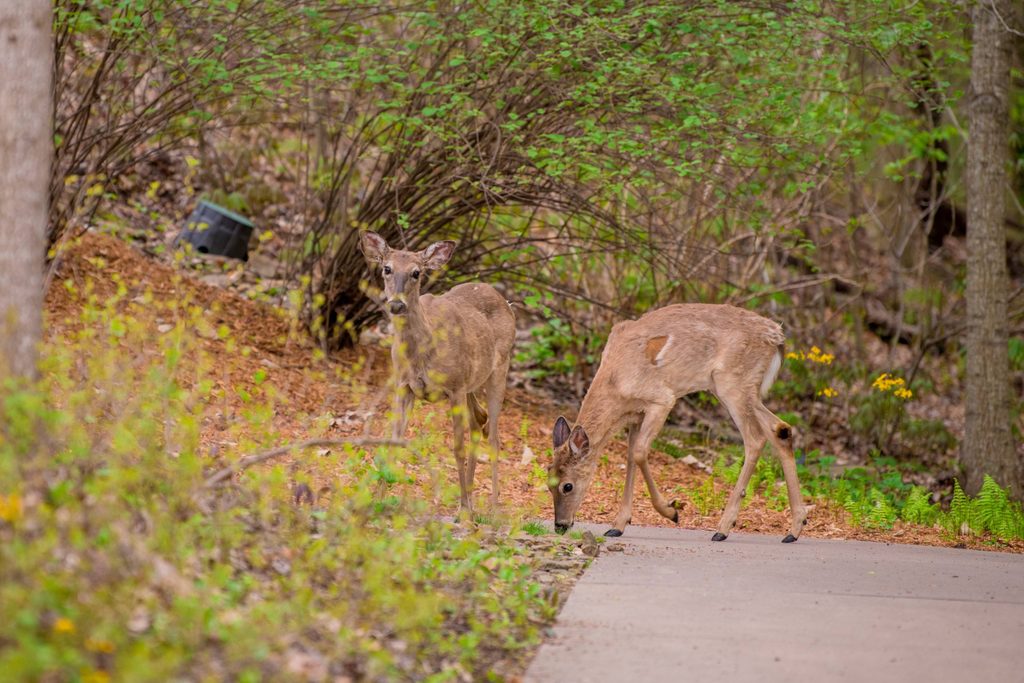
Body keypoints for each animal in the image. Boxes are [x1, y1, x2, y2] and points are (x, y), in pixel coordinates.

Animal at [359, 231, 516, 514]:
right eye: (387, 268)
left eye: (416, 272)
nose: (396, 304)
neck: (422, 353)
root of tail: (506, 301)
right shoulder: (404, 385)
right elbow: (393, 440)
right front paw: (376, 499)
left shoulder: (454, 388)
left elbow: (457, 448)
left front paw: (463, 509)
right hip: (471, 382)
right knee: (479, 420)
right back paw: (471, 498)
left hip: (499, 369)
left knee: (494, 435)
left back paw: (492, 506)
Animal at [547, 303, 811, 543]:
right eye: (549, 483)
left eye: (567, 486)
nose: (560, 525)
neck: (617, 382)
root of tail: (777, 336)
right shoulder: (636, 415)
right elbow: (631, 456)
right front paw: (617, 525)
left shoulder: (662, 399)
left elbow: (640, 452)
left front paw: (671, 511)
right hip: (740, 390)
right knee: (780, 430)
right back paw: (794, 529)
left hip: (732, 383)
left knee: (755, 438)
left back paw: (723, 528)